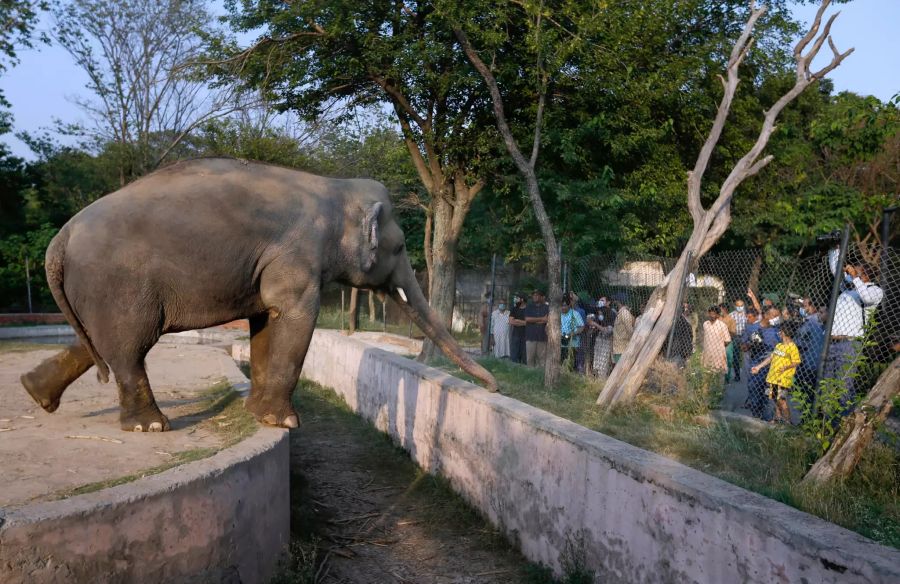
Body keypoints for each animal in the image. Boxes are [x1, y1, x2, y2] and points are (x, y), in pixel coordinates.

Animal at [19, 157, 500, 432]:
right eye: (398, 248)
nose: (494, 387)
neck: (334, 189)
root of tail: (59, 240)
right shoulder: (298, 254)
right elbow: (294, 318)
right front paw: (286, 423)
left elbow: (266, 319)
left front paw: (259, 415)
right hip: (118, 284)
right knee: (130, 346)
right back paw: (151, 427)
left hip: (97, 290)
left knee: (101, 342)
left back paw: (34, 393)